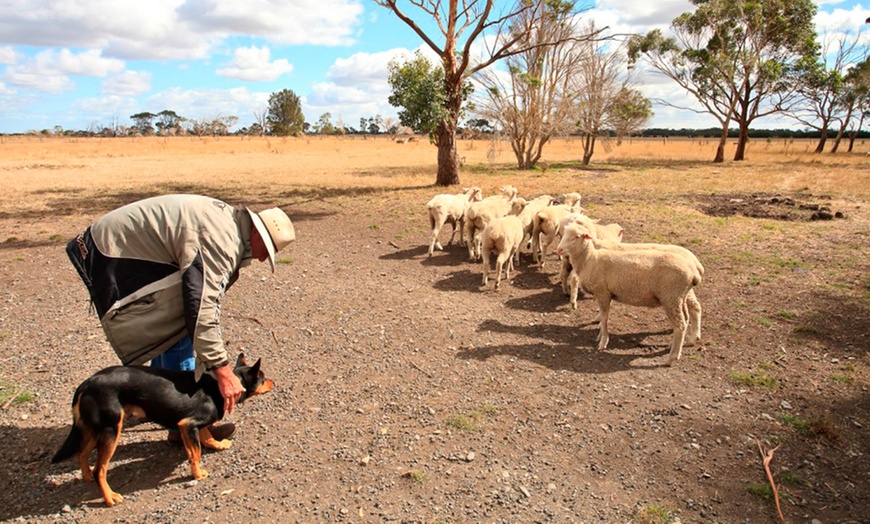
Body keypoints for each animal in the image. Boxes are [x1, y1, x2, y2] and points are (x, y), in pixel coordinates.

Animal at [52, 354, 274, 506]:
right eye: (263, 378)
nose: (274, 382)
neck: (221, 386)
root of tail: (86, 384)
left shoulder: (195, 425)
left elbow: (207, 437)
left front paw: (219, 445)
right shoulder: (188, 424)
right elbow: (195, 452)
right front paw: (198, 474)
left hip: (91, 427)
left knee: (82, 453)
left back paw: (87, 476)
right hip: (110, 430)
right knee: (100, 469)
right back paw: (109, 497)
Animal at [556, 222, 704, 364]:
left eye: (576, 237)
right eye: (564, 234)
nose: (559, 249)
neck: (590, 259)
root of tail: (694, 269)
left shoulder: (602, 292)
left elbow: (604, 318)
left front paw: (603, 342)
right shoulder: (606, 294)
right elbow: (604, 317)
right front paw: (600, 335)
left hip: (671, 297)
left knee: (680, 325)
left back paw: (672, 357)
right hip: (679, 297)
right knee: (687, 316)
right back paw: (683, 343)